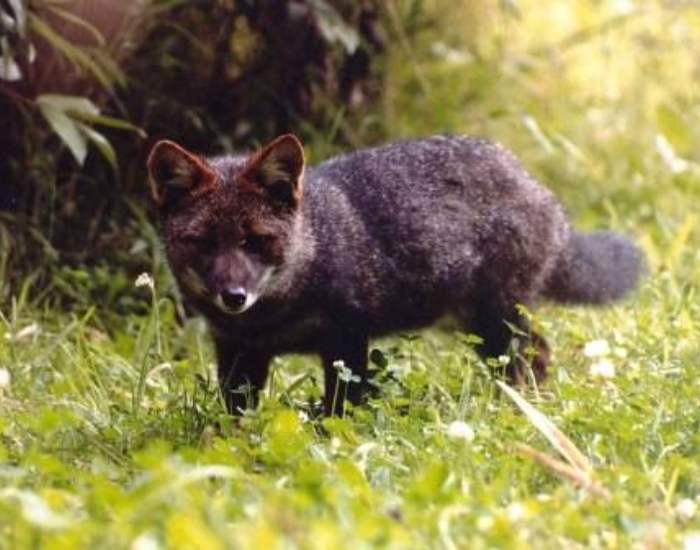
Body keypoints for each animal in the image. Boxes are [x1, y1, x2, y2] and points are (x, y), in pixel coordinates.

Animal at [147, 134, 644, 416]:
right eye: (204, 242)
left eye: (254, 241)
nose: (233, 295)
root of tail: (538, 188)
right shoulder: (237, 352)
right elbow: (236, 420)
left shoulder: (347, 339)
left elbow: (340, 411)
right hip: (477, 327)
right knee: (537, 352)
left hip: (496, 322)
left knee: (533, 356)